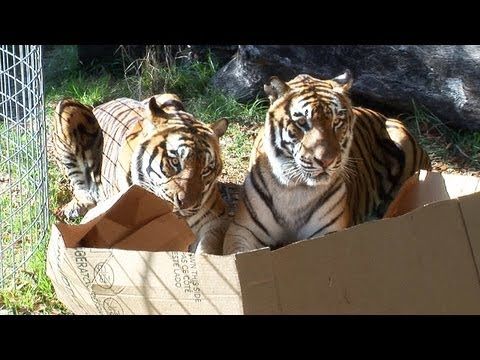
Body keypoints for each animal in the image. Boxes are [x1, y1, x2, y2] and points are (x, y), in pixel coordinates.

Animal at [53, 94, 230, 255]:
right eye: (175, 161)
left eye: (206, 170)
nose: (187, 205)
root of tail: (103, 103)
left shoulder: (215, 221)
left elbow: (208, 251)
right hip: (66, 107)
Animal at [224, 71, 432, 255]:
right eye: (302, 122)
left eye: (337, 122)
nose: (326, 160)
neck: (295, 189)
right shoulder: (241, 230)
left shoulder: (329, 233)